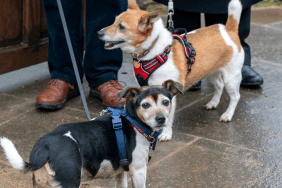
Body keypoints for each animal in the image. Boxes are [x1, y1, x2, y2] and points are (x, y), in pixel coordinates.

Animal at [0, 79, 183, 188]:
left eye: (165, 102)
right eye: (145, 105)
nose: (161, 119)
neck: (134, 121)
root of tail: (44, 146)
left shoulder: (121, 174)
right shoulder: (138, 171)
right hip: (70, 181)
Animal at [98, 0, 245, 141]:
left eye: (121, 26)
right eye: (114, 21)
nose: (99, 33)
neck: (152, 50)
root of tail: (229, 29)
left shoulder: (168, 95)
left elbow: (167, 118)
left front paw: (166, 134)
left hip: (231, 78)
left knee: (235, 96)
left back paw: (228, 114)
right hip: (210, 71)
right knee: (219, 86)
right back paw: (213, 103)